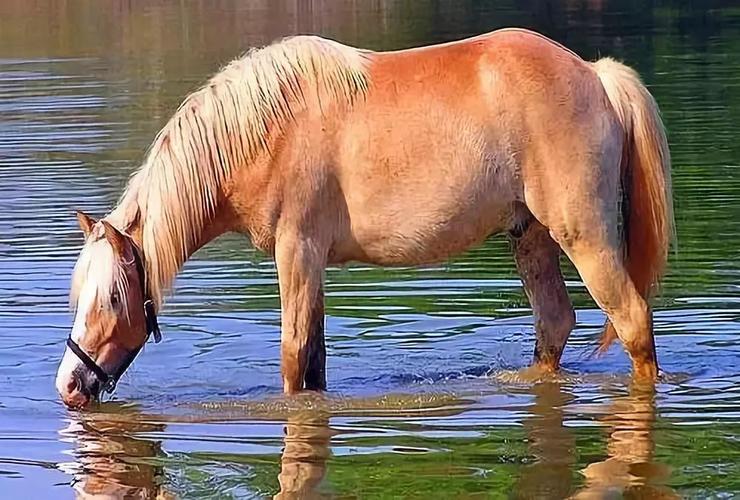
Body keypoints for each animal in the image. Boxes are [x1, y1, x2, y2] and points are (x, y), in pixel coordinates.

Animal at [55, 28, 673, 409]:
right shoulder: (312, 266)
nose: (70, 386)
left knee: (632, 321)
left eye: (112, 299)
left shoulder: (297, 252)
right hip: (532, 236)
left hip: (584, 236)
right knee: (555, 323)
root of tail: (594, 75)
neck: (263, 132)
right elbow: (314, 359)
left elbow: (292, 356)